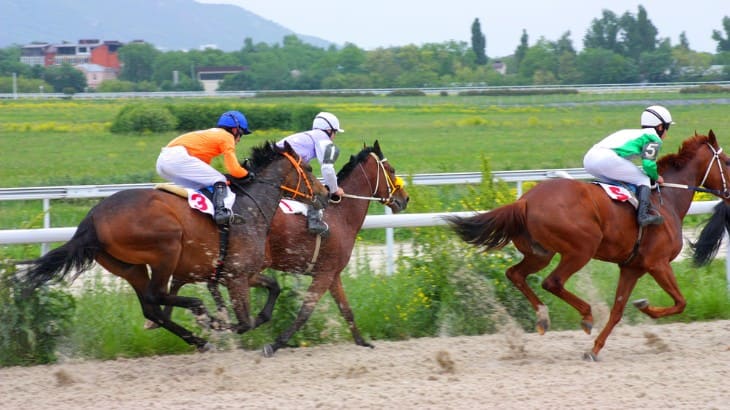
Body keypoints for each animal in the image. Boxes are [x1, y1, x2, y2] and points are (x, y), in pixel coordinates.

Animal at [20, 143, 328, 350]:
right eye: (309, 168)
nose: (326, 194)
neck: (250, 208)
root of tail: (93, 218)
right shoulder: (236, 276)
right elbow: (244, 321)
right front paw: (217, 323)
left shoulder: (243, 273)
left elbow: (272, 290)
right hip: (166, 248)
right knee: (157, 295)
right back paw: (198, 309)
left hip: (128, 267)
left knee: (151, 307)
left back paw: (198, 339)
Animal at [164, 141, 410, 356]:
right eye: (391, 169)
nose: (405, 198)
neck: (341, 215)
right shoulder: (324, 273)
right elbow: (305, 312)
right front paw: (274, 345)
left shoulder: (333, 274)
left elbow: (346, 310)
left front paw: (363, 342)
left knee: (192, 287)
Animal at [446, 132, 728, 362]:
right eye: (726, 161)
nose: (728, 192)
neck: (667, 199)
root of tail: (524, 201)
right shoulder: (656, 263)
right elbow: (680, 302)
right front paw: (644, 307)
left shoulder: (632, 267)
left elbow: (617, 310)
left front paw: (594, 349)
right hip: (582, 249)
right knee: (552, 282)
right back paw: (586, 316)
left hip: (540, 253)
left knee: (515, 274)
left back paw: (543, 318)